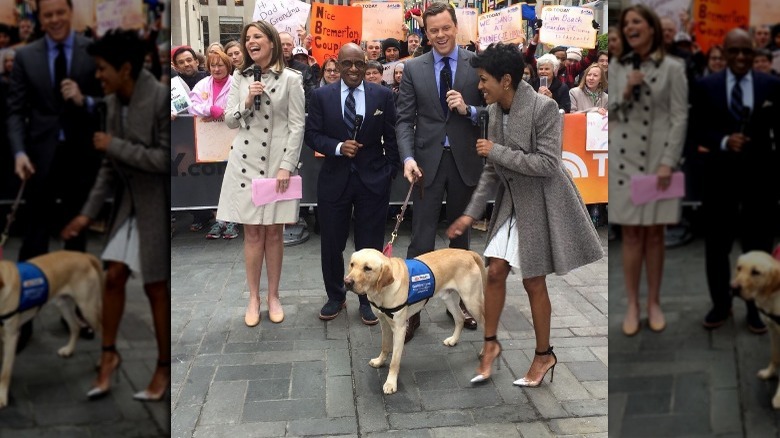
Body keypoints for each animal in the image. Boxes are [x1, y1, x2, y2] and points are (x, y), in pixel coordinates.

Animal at [0, 252, 103, 408]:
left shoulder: (11, 336)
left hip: (88, 308)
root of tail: (85, 256)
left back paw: (104, 361)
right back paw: (69, 350)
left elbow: (5, 372)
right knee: (75, 327)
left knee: (104, 330)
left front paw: (1, 396)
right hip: (64, 304)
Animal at [344, 248, 484, 396]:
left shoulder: (399, 329)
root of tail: (468, 252)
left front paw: (390, 383)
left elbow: (394, 361)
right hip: (449, 298)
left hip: (472, 302)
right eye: (352, 264)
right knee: (460, 318)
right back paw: (453, 340)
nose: (347, 282)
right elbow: (385, 346)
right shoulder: (384, 322)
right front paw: (379, 361)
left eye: (368, 268)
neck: (383, 291)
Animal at [732, 252, 780, 408]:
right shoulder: (773, 331)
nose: (733, 287)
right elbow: (775, 357)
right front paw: (769, 373)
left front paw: (779, 397)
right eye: (739, 268)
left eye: (756, 272)